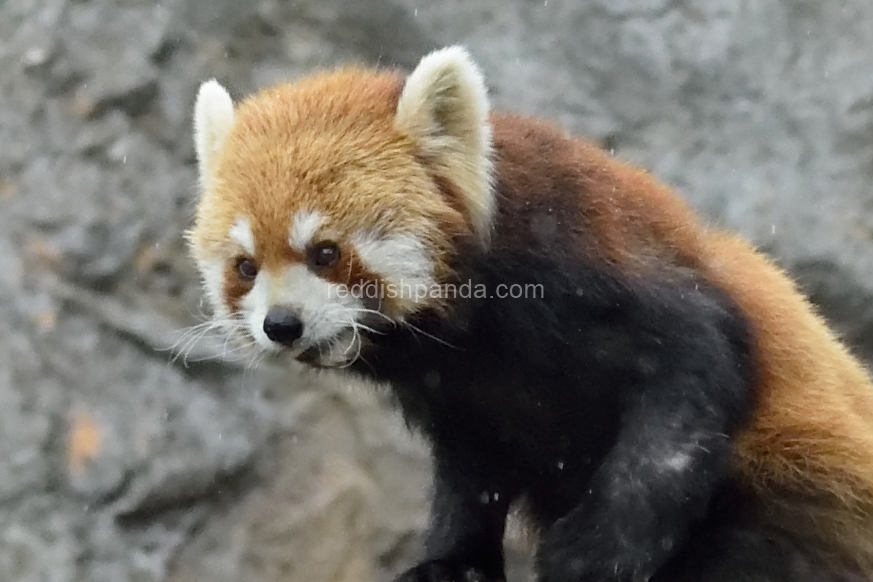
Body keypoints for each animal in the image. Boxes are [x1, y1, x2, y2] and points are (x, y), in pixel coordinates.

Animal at [187, 46, 872, 582]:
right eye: (245, 265)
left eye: (325, 252)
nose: (282, 325)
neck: (474, 339)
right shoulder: (462, 400)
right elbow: (472, 477)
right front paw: (450, 562)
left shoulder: (596, 274)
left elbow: (690, 377)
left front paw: (596, 553)